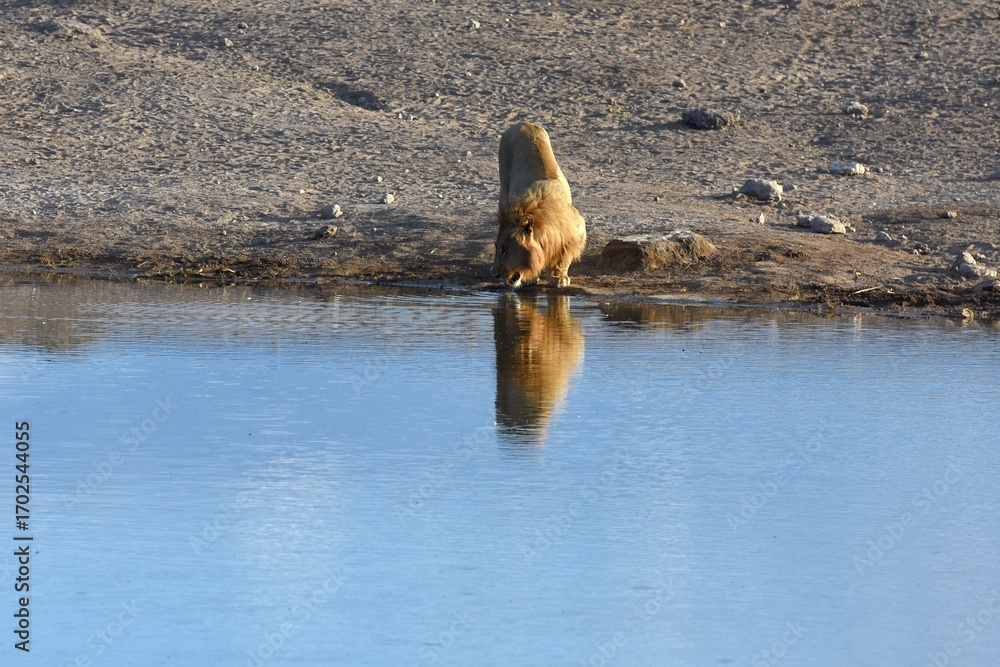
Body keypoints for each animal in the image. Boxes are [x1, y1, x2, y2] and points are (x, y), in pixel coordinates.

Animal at [491, 122, 586, 288]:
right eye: (498, 248)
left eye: (505, 249)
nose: (494, 274)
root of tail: (522, 123)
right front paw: (531, 277)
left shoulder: (577, 229)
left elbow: (564, 257)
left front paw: (558, 277)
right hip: (504, 192)